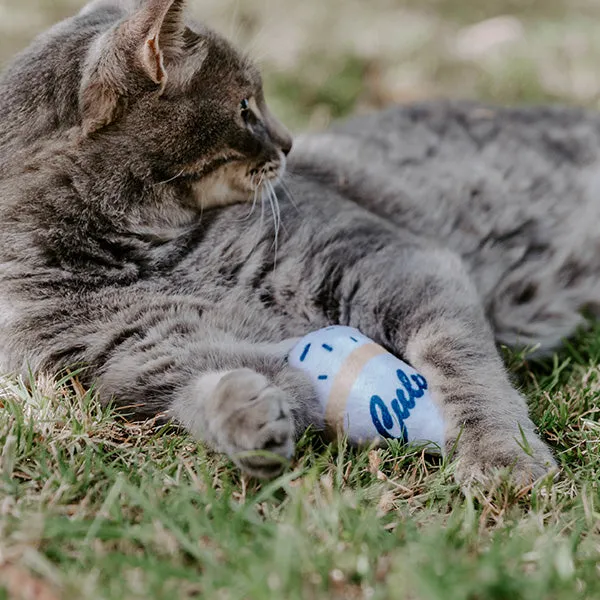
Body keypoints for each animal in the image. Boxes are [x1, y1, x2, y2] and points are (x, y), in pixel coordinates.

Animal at [5, 0, 600, 486]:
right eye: (245, 106)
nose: (289, 143)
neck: (149, 255)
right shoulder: (141, 360)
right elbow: (200, 392)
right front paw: (246, 413)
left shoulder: (388, 263)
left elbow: (463, 368)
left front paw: (502, 456)